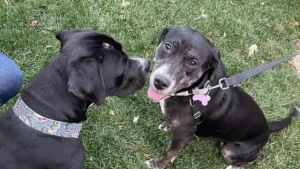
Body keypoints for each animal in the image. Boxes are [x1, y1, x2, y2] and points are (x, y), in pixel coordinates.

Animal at [146, 26, 300, 169]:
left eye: (193, 62)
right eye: (168, 46)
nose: (160, 82)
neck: (191, 92)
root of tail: (267, 128)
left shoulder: (183, 137)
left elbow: (170, 153)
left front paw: (157, 164)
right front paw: (166, 125)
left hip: (230, 150)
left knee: (254, 159)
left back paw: (234, 166)